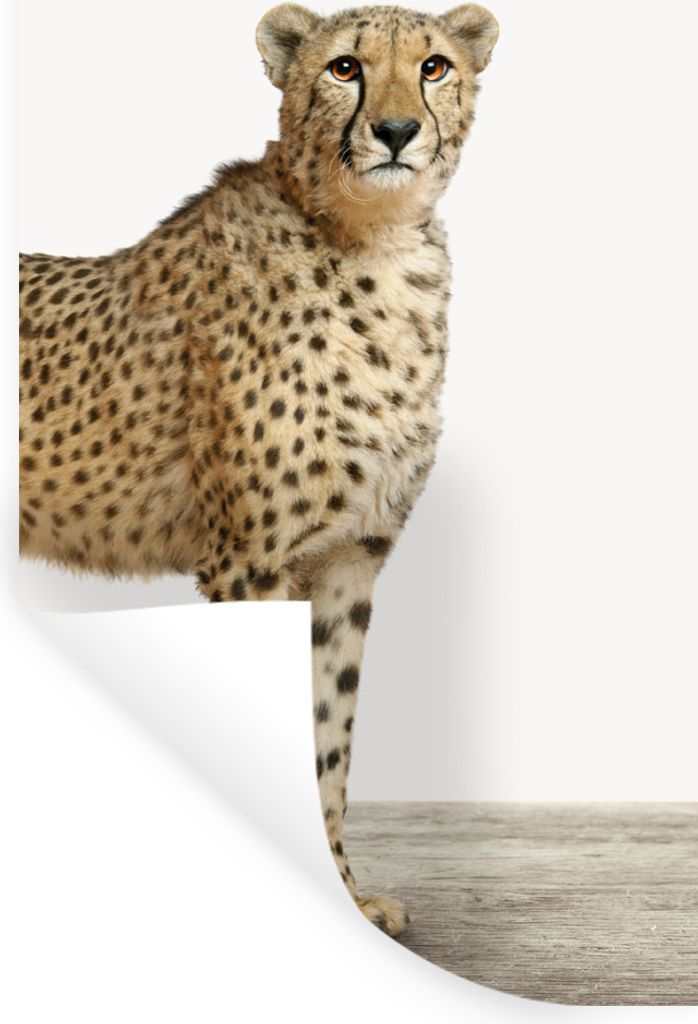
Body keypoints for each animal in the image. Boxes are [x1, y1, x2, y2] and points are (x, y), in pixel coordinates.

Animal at [19, 3, 499, 936]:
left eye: (433, 66)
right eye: (345, 67)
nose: (395, 131)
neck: (373, 244)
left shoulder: (350, 561)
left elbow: (329, 737)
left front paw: (346, 900)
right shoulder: (250, 563)